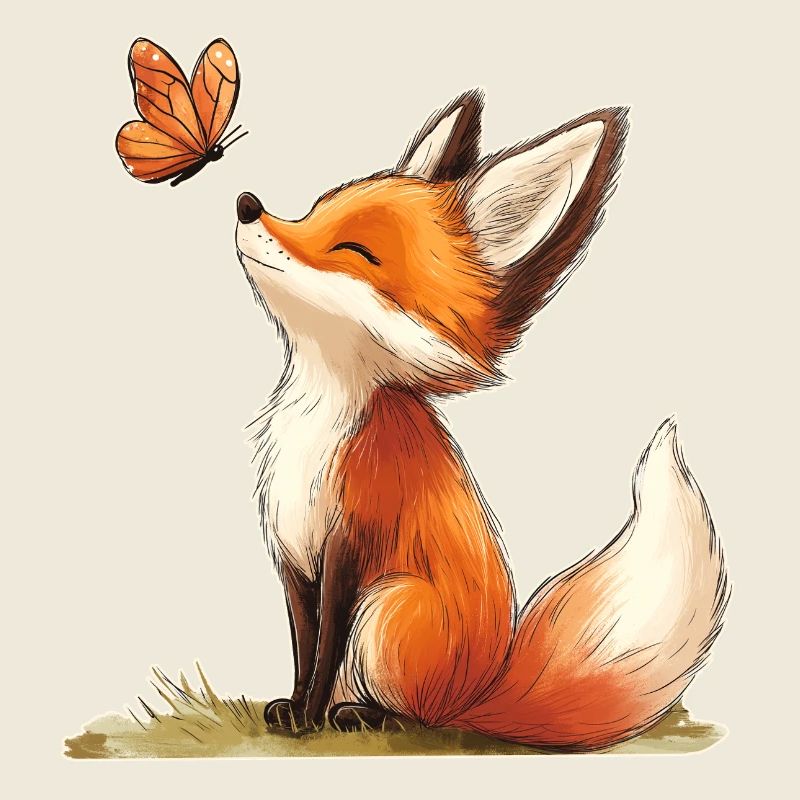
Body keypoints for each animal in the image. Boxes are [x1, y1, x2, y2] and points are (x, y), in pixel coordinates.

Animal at [233, 89, 729, 751]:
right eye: (314, 210)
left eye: (355, 252)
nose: (247, 205)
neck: (317, 422)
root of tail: (482, 690)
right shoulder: (291, 553)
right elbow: (302, 646)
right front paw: (291, 708)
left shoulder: (349, 547)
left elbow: (324, 646)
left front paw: (308, 720)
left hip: (389, 606)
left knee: (419, 713)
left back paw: (364, 715)